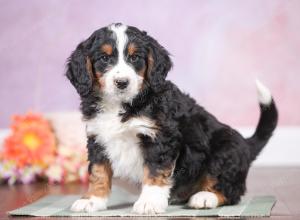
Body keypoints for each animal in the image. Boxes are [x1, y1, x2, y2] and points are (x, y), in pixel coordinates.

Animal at [67, 23, 278, 214]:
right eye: (104, 58)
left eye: (135, 58)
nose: (122, 83)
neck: (122, 104)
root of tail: (246, 145)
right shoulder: (97, 138)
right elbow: (98, 172)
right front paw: (92, 200)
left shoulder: (160, 137)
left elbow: (155, 171)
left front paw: (149, 202)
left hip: (226, 150)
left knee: (230, 190)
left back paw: (204, 197)